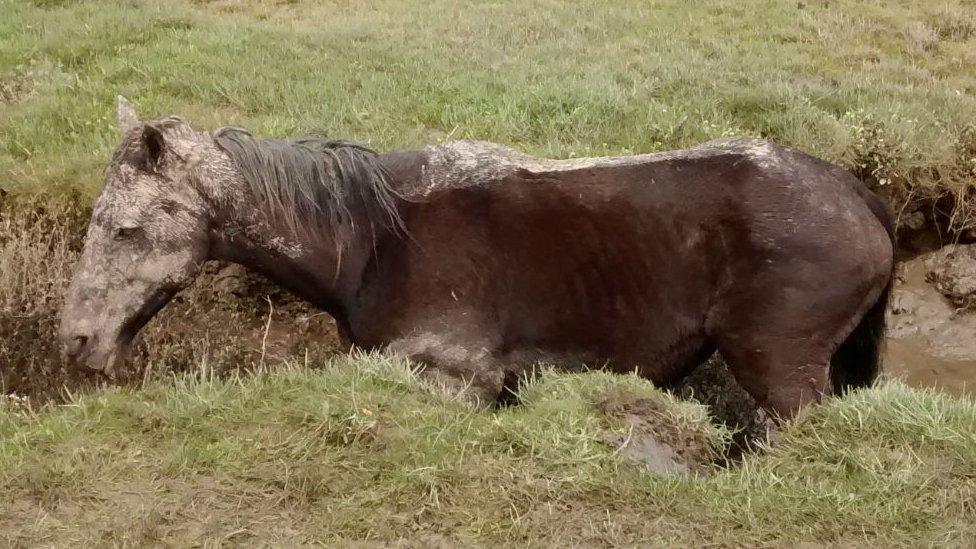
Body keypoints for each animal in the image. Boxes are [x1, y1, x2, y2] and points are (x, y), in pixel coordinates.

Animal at [59, 96, 892, 418]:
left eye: (126, 229)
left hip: (778, 367)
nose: (74, 339)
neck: (375, 241)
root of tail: (859, 194)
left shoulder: (453, 377)